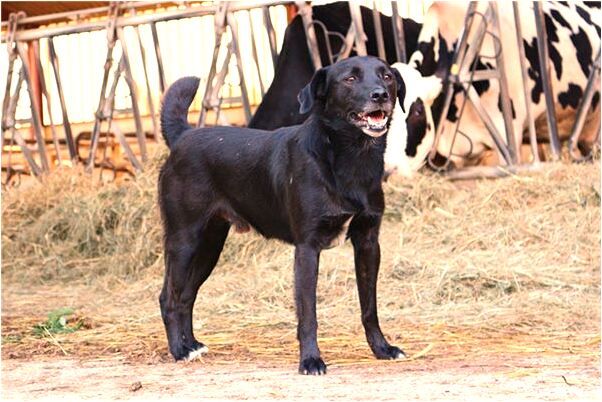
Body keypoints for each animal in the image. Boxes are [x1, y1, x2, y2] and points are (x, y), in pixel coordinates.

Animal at [157, 55, 406, 376]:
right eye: (350, 79)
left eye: (387, 76)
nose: (380, 95)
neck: (350, 157)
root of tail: (183, 135)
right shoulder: (307, 248)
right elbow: (308, 314)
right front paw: (310, 360)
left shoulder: (368, 243)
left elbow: (369, 307)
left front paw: (382, 349)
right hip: (184, 241)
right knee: (169, 298)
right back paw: (179, 350)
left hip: (210, 245)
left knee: (186, 296)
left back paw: (192, 346)